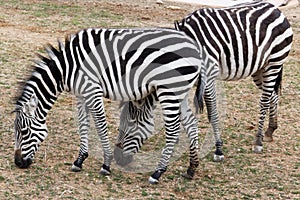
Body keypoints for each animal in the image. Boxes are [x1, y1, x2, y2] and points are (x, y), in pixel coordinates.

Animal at [14, 27, 207, 184]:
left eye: (24, 131)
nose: (18, 163)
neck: (67, 68)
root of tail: (196, 48)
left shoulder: (93, 90)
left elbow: (100, 126)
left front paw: (106, 164)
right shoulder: (81, 94)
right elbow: (83, 125)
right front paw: (80, 160)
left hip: (169, 90)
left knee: (173, 130)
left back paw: (157, 173)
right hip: (180, 92)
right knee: (191, 123)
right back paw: (192, 168)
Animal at [173, 0, 292, 159]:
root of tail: (275, 8)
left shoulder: (209, 75)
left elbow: (212, 112)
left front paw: (218, 149)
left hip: (274, 63)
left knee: (265, 100)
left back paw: (258, 142)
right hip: (259, 68)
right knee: (273, 95)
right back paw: (270, 130)